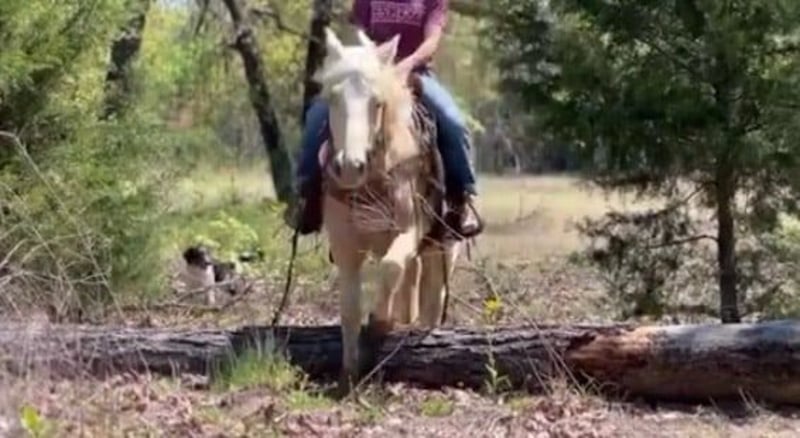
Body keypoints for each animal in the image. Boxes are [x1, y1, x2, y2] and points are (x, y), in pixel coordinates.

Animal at [313, 27, 462, 395]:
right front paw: (350, 371)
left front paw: (380, 322)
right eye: (332, 98)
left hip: (443, 247)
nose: (350, 167)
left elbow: (390, 269)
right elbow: (349, 306)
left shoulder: (409, 230)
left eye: (376, 103)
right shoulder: (345, 243)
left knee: (431, 297)